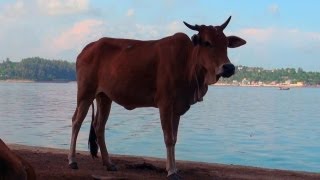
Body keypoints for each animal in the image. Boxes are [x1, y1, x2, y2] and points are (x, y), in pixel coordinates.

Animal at [69, 16, 246, 179]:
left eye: (226, 43)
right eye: (207, 43)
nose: (228, 67)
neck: (187, 63)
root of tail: (87, 49)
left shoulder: (177, 108)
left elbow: (174, 138)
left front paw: (174, 168)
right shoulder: (165, 104)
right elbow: (168, 138)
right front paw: (171, 171)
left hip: (104, 97)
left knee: (99, 126)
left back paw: (109, 163)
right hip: (85, 94)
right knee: (76, 121)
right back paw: (72, 161)